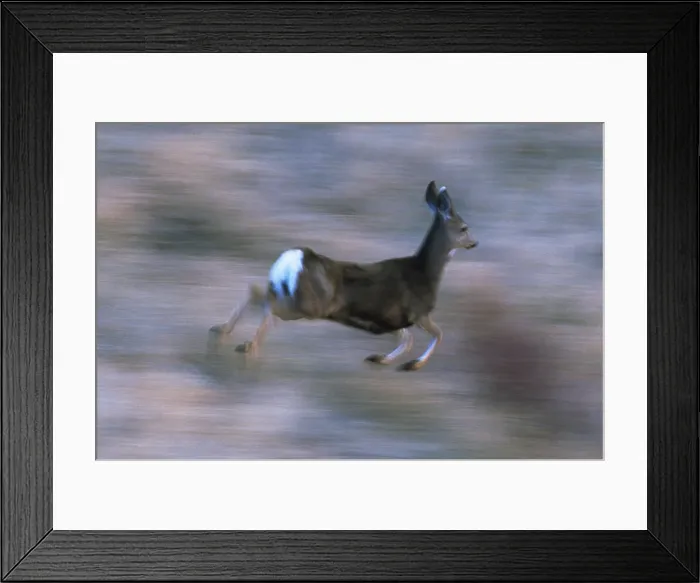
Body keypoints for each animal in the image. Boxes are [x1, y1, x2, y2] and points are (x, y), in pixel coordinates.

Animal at [207, 181, 478, 371]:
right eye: (464, 228)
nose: (474, 243)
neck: (425, 273)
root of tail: (293, 258)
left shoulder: (385, 321)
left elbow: (407, 339)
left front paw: (379, 358)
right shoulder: (417, 313)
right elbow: (436, 334)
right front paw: (411, 365)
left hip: (285, 291)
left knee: (256, 292)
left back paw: (222, 330)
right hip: (309, 305)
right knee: (270, 310)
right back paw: (247, 345)